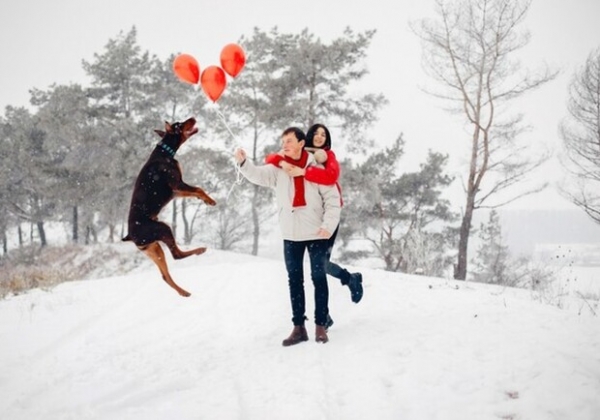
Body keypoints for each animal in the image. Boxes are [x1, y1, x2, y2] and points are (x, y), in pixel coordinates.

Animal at [122, 117, 216, 297]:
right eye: (179, 124)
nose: (193, 118)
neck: (165, 151)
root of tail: (130, 236)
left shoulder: (176, 191)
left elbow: (195, 192)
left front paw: (205, 200)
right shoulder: (177, 184)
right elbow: (198, 188)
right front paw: (211, 200)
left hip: (153, 248)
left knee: (165, 275)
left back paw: (183, 292)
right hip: (163, 228)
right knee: (177, 255)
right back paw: (199, 250)